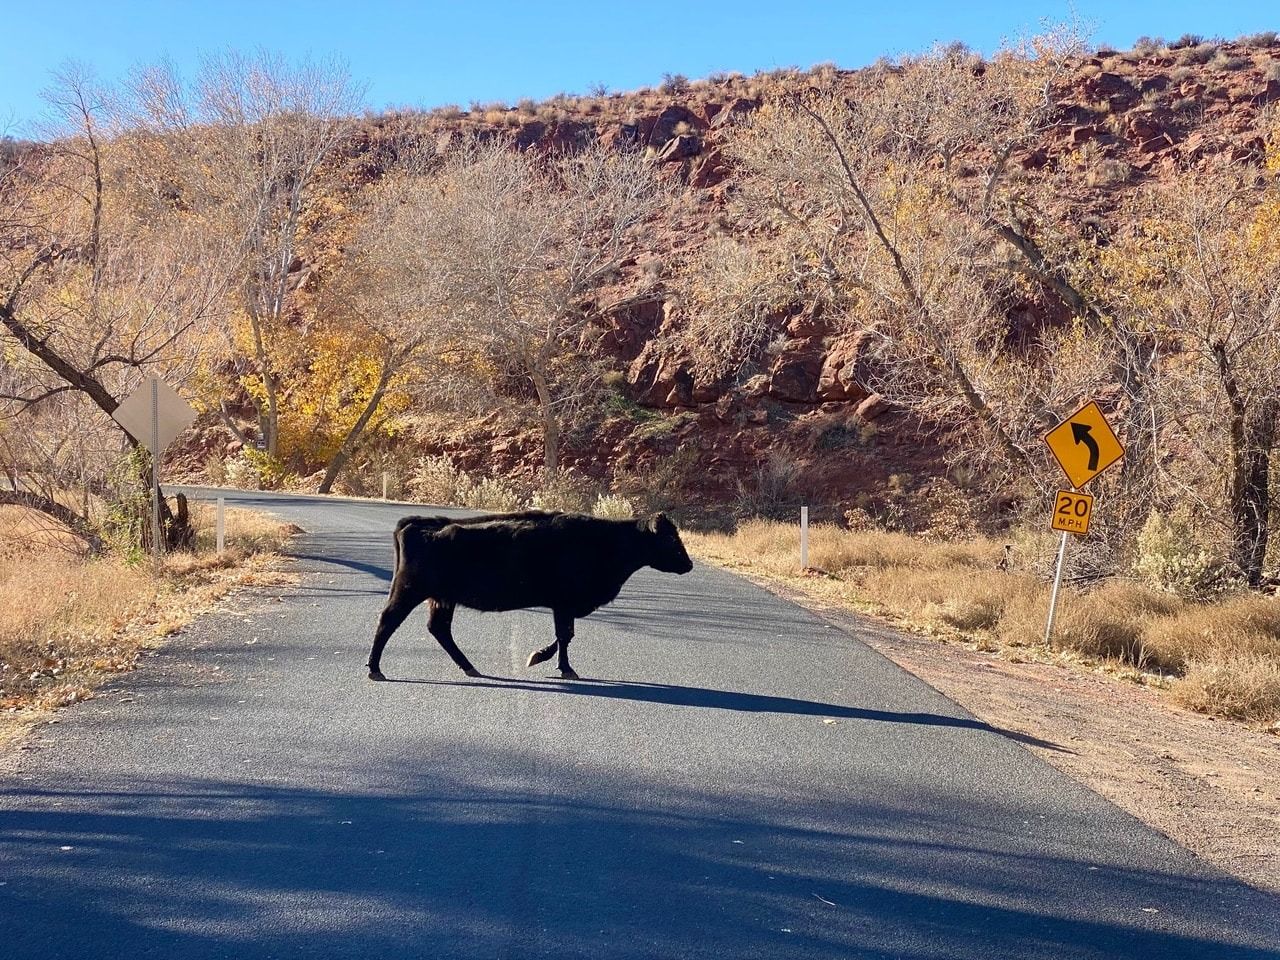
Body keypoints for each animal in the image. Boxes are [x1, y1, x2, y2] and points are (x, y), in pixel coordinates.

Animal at [366, 512, 696, 686]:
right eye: (670, 538)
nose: (689, 564)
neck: (604, 541)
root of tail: (419, 522)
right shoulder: (564, 603)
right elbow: (564, 636)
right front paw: (559, 666)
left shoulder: (562, 605)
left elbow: (563, 636)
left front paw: (542, 658)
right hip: (409, 591)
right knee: (387, 622)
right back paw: (375, 669)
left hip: (441, 598)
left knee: (439, 629)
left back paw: (470, 667)